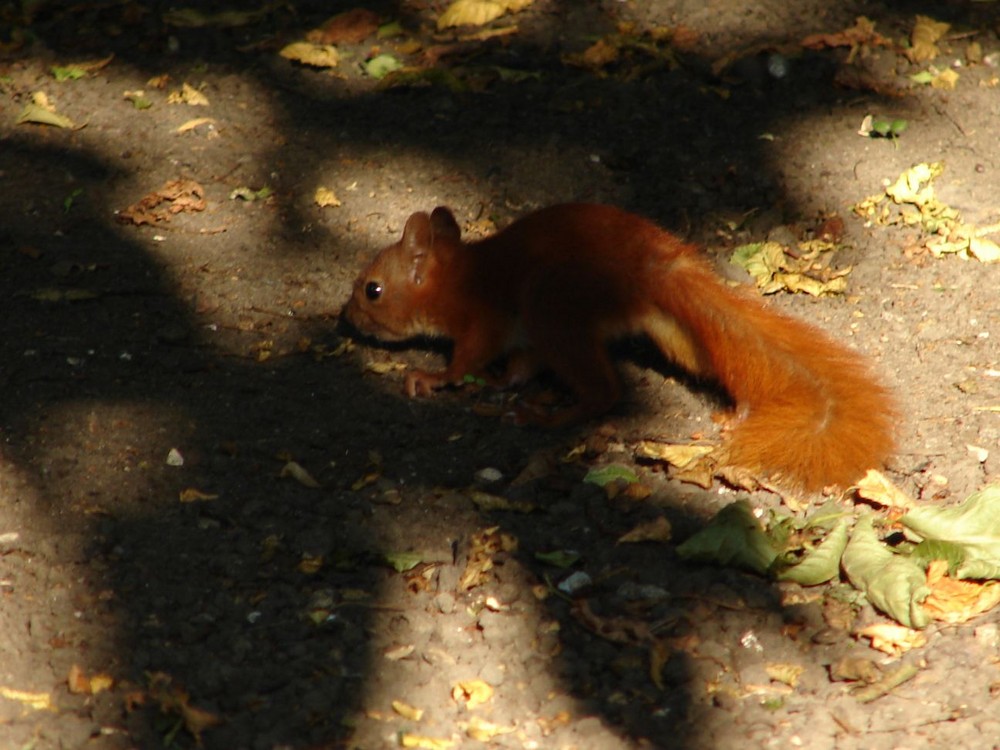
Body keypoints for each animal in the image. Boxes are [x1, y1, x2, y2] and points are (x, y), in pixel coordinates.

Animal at [346, 204, 900, 494]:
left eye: (373, 289)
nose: (346, 318)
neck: (458, 279)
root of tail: (655, 267)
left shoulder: (485, 321)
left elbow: (466, 360)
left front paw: (432, 379)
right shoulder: (523, 338)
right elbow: (520, 365)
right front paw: (504, 381)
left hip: (554, 306)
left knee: (605, 393)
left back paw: (547, 417)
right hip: (674, 334)